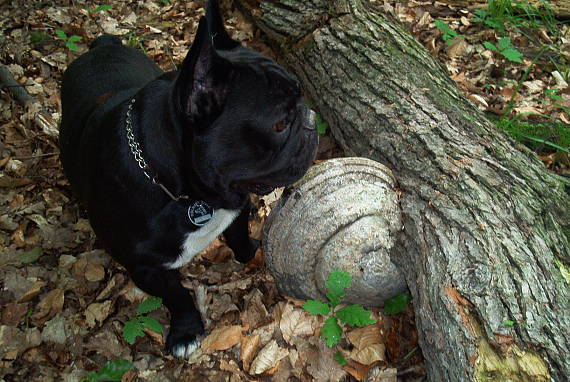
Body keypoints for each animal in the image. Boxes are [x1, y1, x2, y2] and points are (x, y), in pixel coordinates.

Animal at [60, 0, 318, 358]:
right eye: (280, 124)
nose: (311, 119)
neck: (189, 197)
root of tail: (102, 46)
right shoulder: (146, 268)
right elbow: (177, 296)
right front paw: (186, 330)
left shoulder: (235, 202)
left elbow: (238, 235)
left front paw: (251, 251)